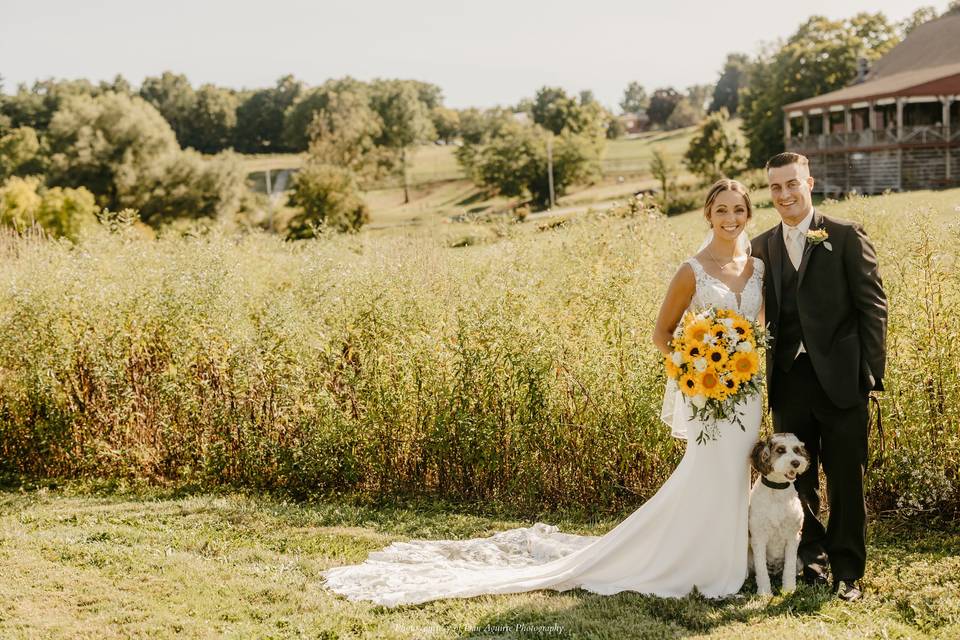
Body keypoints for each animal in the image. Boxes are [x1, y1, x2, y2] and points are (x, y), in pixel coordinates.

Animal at [752, 432, 808, 596]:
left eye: (796, 450)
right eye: (780, 450)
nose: (796, 462)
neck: (776, 490)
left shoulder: (793, 536)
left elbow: (789, 568)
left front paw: (789, 589)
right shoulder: (758, 537)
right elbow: (761, 569)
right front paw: (765, 592)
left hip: (800, 561)